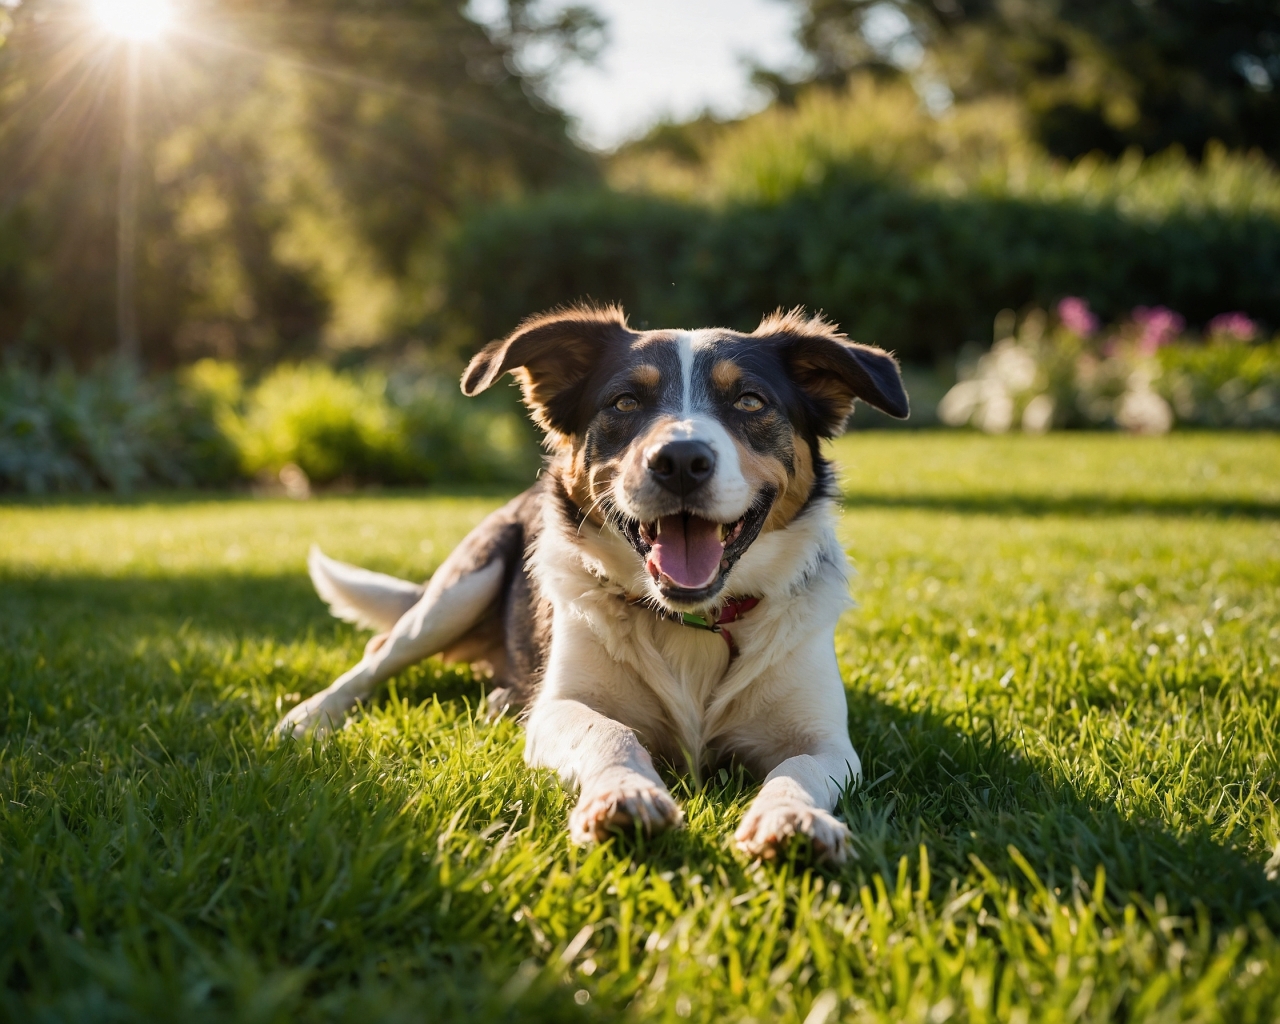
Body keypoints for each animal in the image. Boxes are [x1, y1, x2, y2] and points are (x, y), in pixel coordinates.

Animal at [275, 305, 906, 865]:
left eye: (750, 401)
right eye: (625, 402)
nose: (680, 460)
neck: (692, 621)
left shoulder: (825, 740)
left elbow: (797, 768)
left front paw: (793, 818)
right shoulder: (560, 711)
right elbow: (609, 732)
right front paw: (625, 794)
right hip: (461, 588)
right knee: (380, 651)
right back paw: (309, 717)